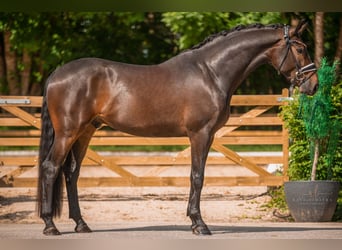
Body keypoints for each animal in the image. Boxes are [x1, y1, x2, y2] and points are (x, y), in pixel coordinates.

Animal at [36, 21, 318, 234]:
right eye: (301, 48)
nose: (313, 85)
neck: (210, 72)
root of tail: (56, 74)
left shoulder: (207, 136)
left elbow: (197, 176)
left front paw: (194, 220)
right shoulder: (200, 134)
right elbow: (197, 176)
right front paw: (199, 224)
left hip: (85, 132)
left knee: (71, 173)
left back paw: (81, 224)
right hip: (68, 133)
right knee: (51, 168)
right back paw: (50, 225)